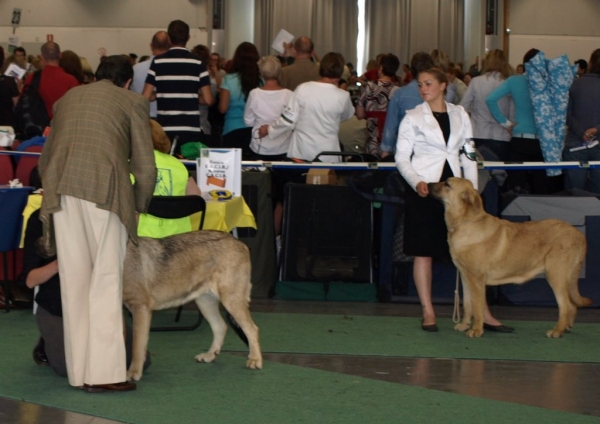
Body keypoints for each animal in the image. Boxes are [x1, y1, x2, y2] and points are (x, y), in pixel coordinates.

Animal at [123, 230, 262, 382]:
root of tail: (239, 242)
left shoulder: (140, 307)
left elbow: (137, 346)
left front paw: (133, 373)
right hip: (205, 302)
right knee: (221, 327)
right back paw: (210, 355)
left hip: (231, 300)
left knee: (251, 329)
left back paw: (255, 359)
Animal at [432, 177, 592, 340]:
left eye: (447, 184)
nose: (429, 184)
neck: (464, 222)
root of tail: (579, 234)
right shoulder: (465, 277)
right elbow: (467, 304)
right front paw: (464, 325)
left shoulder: (476, 279)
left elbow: (477, 307)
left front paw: (476, 330)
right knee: (572, 305)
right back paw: (566, 327)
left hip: (555, 275)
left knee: (566, 305)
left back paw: (557, 331)